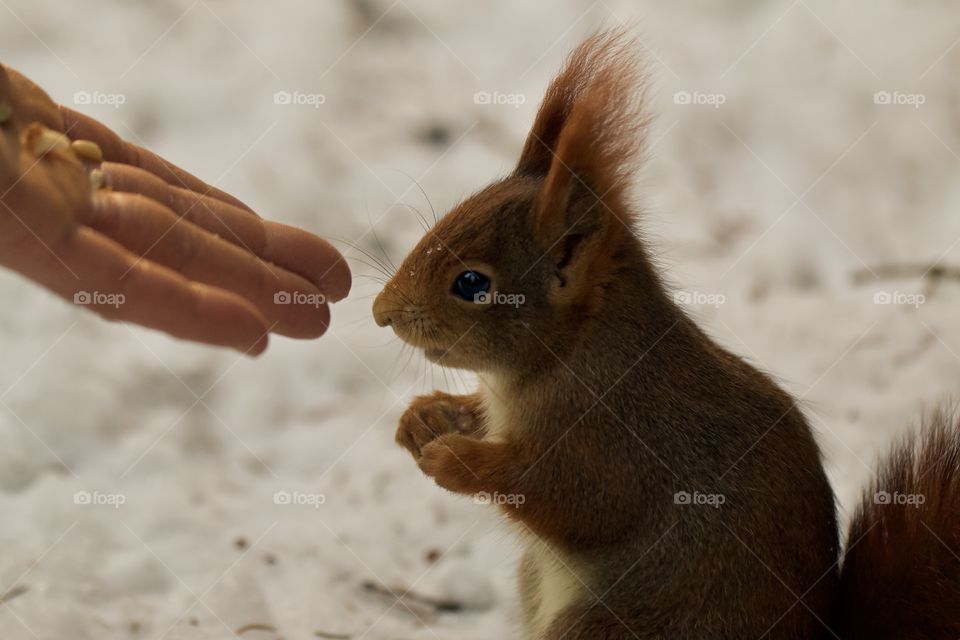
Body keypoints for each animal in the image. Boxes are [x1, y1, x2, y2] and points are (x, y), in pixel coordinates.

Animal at [370, 30, 960, 640]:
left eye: (471, 283)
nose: (380, 313)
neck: (562, 358)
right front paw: (424, 418)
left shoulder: (616, 443)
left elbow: (573, 500)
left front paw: (453, 460)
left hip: (610, 626)